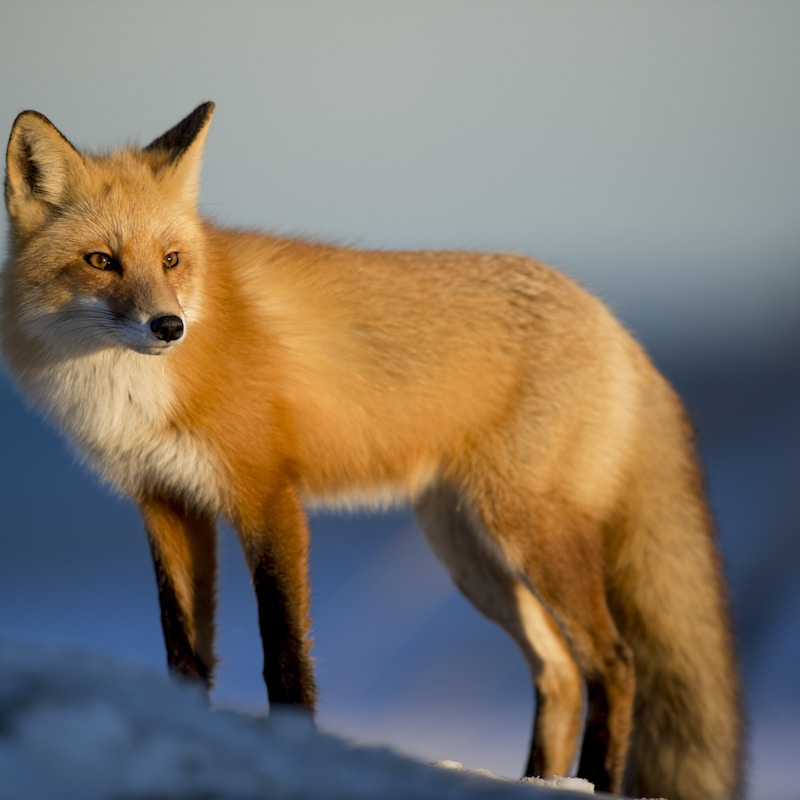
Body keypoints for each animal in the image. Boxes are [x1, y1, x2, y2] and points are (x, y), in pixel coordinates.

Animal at [2, 102, 742, 799]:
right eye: (101, 260)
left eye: (171, 260)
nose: (169, 326)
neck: (131, 391)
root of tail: (614, 324)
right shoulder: (166, 503)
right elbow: (183, 654)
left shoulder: (267, 495)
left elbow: (284, 655)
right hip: (468, 551)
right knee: (558, 671)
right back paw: (539, 781)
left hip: (528, 532)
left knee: (614, 664)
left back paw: (595, 783)